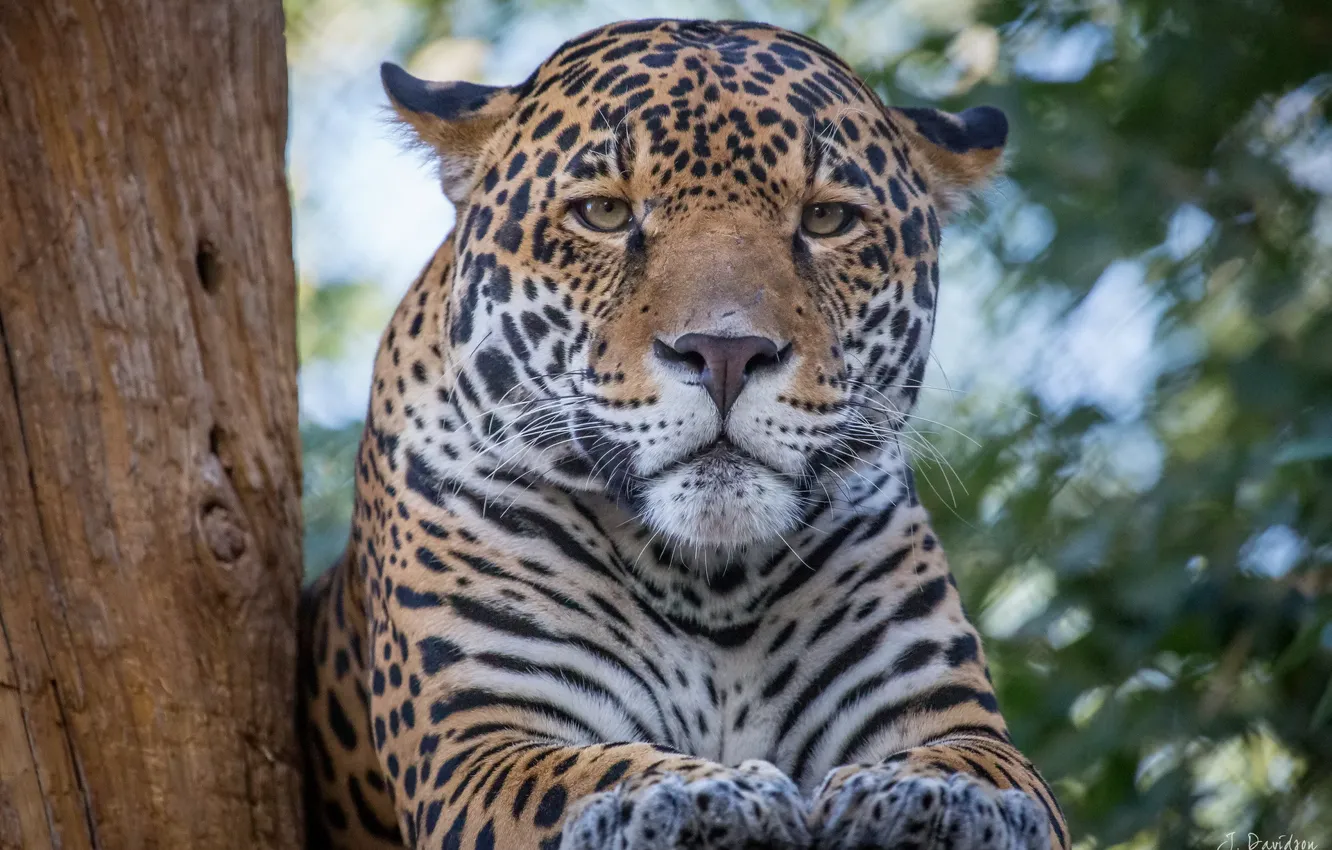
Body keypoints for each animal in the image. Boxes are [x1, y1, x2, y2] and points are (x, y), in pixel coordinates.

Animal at [297, 17, 1070, 850]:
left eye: (827, 219)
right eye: (604, 214)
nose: (726, 353)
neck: (708, 585)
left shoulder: (945, 711)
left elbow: (986, 772)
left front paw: (933, 799)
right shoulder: (478, 741)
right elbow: (587, 774)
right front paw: (702, 796)